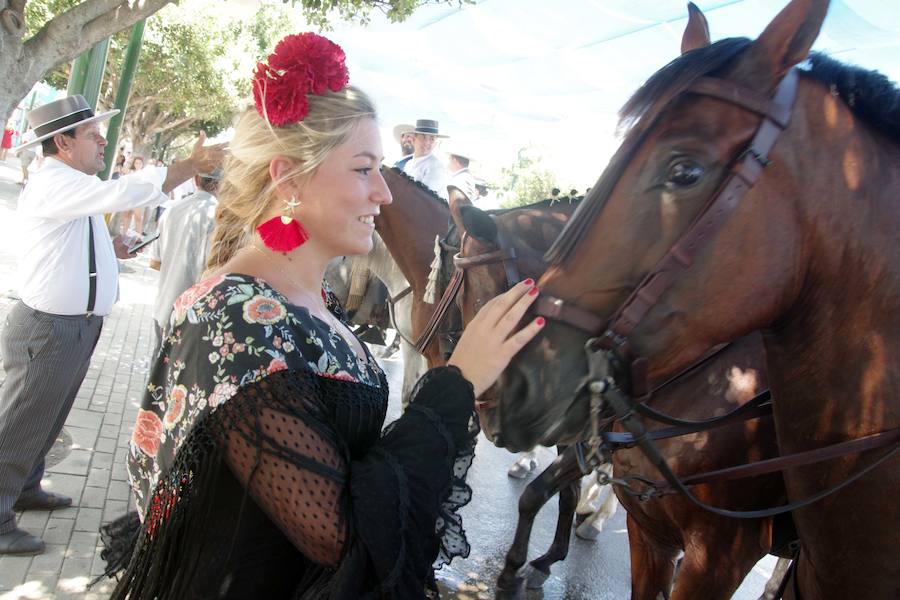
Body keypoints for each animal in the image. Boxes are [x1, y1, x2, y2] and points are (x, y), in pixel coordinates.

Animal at [454, 193, 784, 600]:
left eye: (485, 299)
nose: (482, 406)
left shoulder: (725, 548)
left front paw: (522, 566)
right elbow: (547, 491)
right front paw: (534, 563)